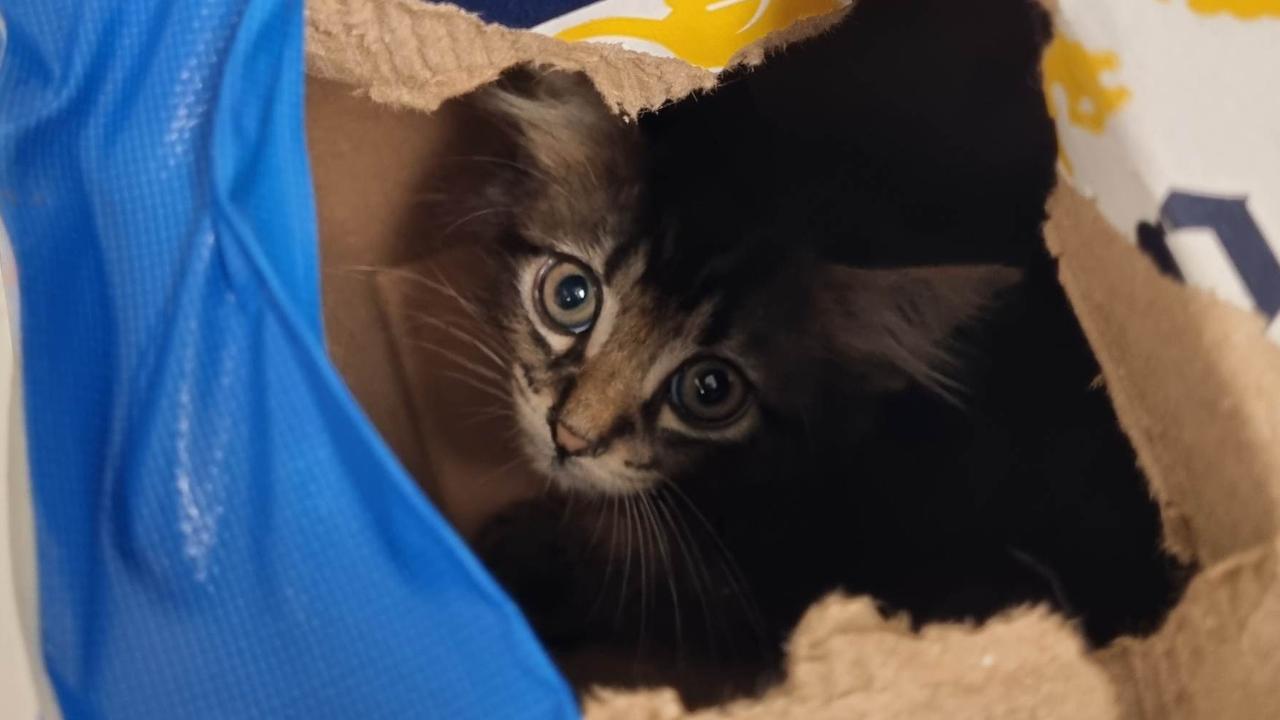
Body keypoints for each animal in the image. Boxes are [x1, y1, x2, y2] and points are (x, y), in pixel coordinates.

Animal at [445, 0, 1182, 702]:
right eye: (571, 296)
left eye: (710, 390)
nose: (570, 436)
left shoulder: (747, 586)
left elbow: (635, 583)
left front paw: (520, 557)